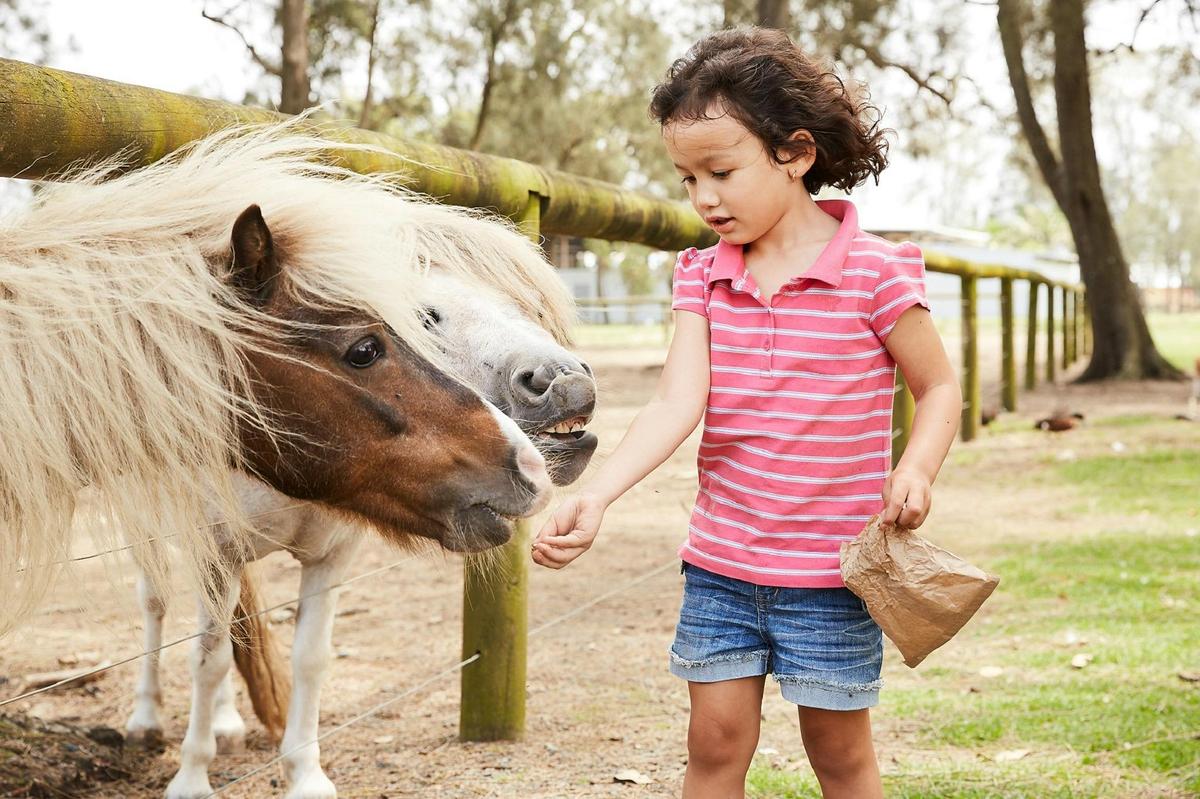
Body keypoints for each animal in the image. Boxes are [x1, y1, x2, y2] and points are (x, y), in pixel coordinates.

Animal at [129, 272, 597, 799]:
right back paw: (146, 719)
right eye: (423, 316)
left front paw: (305, 776)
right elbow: (207, 663)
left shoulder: (329, 556)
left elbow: (308, 658)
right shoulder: (215, 554)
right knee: (155, 605)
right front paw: (191, 777)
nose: (568, 382)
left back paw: (226, 724)